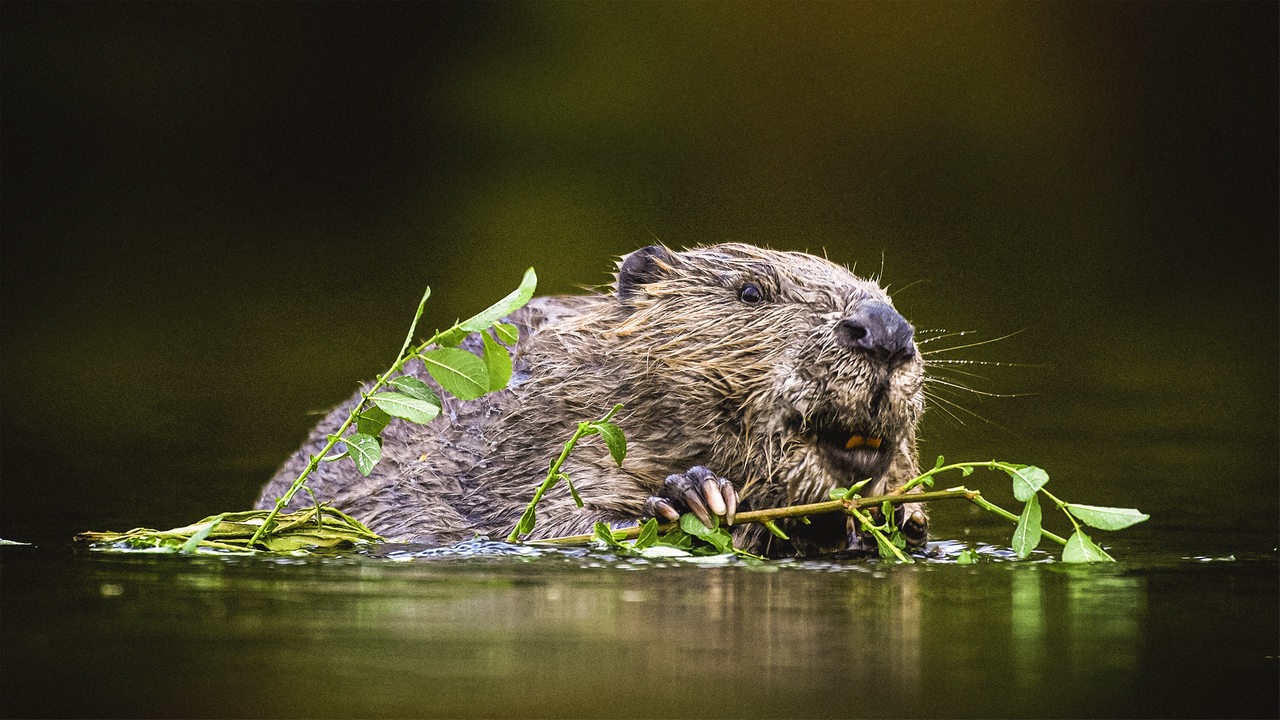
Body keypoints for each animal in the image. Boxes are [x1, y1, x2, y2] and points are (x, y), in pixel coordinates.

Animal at [252, 242, 931, 556]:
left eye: (879, 292)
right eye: (749, 291)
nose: (884, 329)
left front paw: (903, 516)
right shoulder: (520, 451)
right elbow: (549, 524)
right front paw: (694, 494)